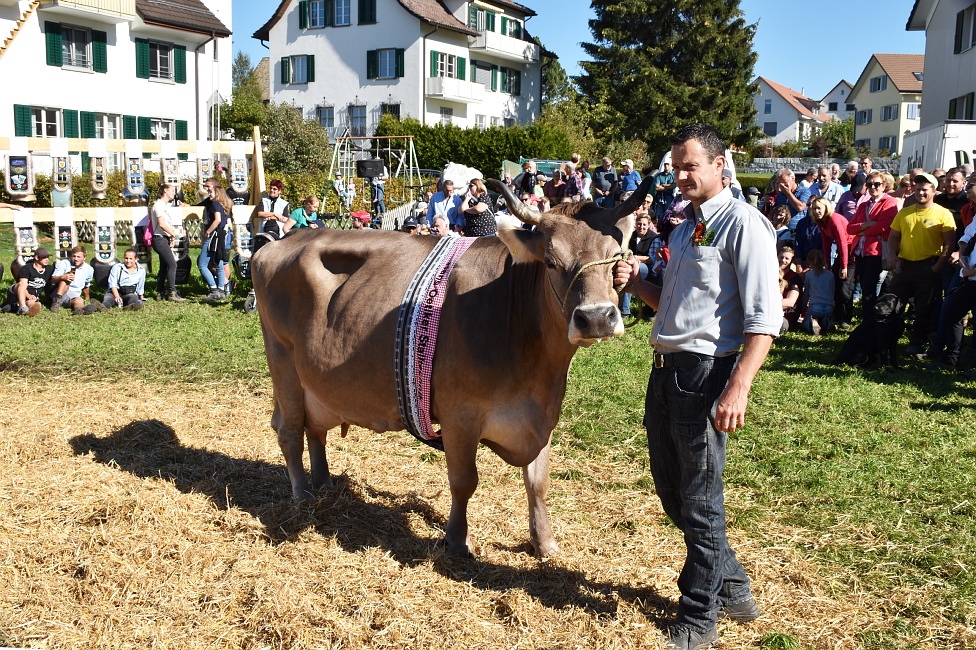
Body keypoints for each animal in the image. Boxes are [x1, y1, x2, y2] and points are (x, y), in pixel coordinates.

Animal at [252, 175, 652, 556]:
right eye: (551, 262)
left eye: (616, 258)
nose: (596, 318)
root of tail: (278, 242)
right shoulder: (460, 416)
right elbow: (464, 481)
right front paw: (458, 541)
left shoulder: (541, 417)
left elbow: (538, 482)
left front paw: (545, 543)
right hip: (282, 361)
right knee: (290, 430)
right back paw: (303, 495)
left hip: (315, 381)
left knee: (315, 428)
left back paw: (324, 483)